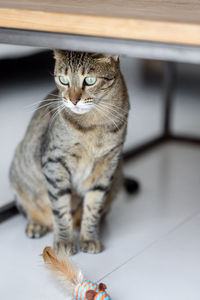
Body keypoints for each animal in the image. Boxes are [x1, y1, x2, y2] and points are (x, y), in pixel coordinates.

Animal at [9, 50, 130, 254]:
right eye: (63, 80)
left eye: (89, 80)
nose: (73, 100)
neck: (95, 125)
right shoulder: (54, 162)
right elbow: (60, 207)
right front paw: (64, 241)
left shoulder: (108, 165)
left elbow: (93, 207)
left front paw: (89, 237)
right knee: (32, 211)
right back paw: (37, 224)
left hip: (118, 175)